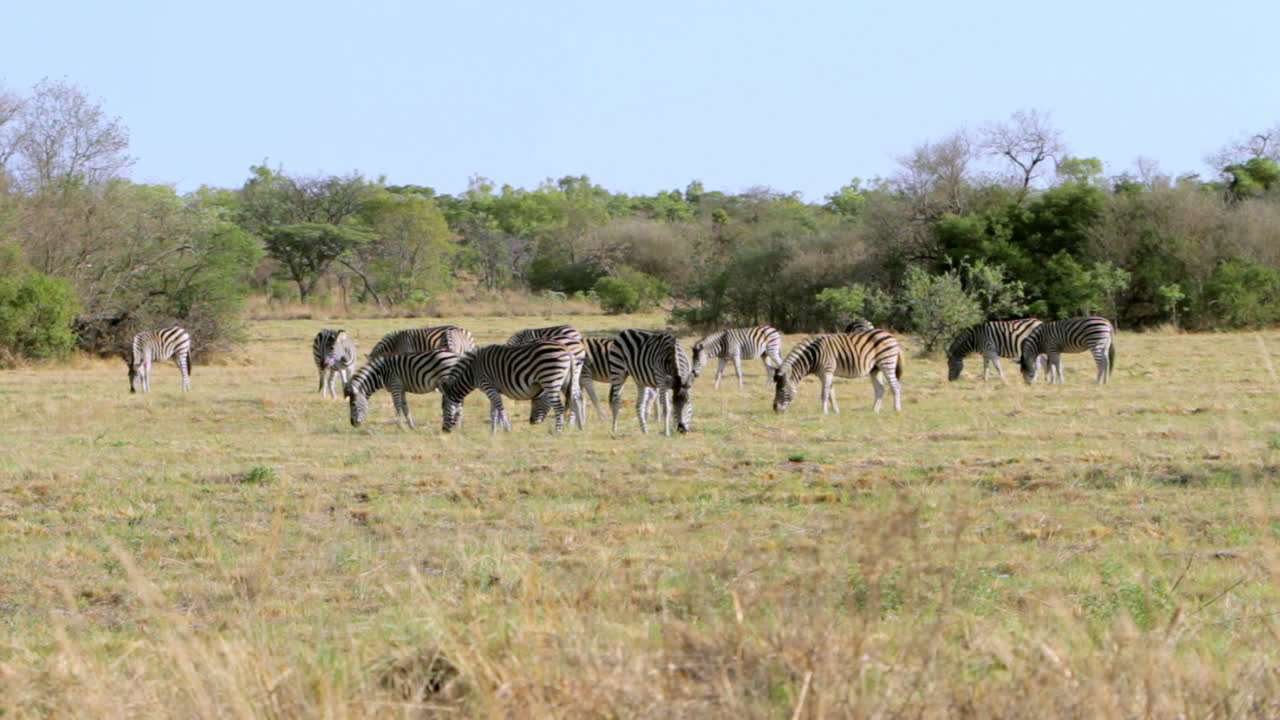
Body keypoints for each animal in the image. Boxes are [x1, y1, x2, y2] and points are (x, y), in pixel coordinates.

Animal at [440, 342, 577, 434]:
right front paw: (493, 431)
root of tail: (565, 347)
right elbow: (493, 412)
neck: (472, 372)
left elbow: (500, 409)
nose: (444, 430)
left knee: (559, 407)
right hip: (565, 381)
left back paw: (558, 431)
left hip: (550, 380)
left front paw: (507, 429)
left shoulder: (488, 386)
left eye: (444, 409)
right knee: (572, 402)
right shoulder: (493, 389)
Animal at [772, 331, 903, 413]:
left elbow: (825, 393)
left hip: (887, 363)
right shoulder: (823, 374)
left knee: (895, 386)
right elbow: (831, 392)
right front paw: (835, 411)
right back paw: (874, 411)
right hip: (875, 369)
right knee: (880, 388)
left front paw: (823, 411)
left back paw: (896, 409)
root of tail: (890, 335)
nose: (775, 409)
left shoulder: (827, 371)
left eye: (781, 390)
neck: (814, 357)